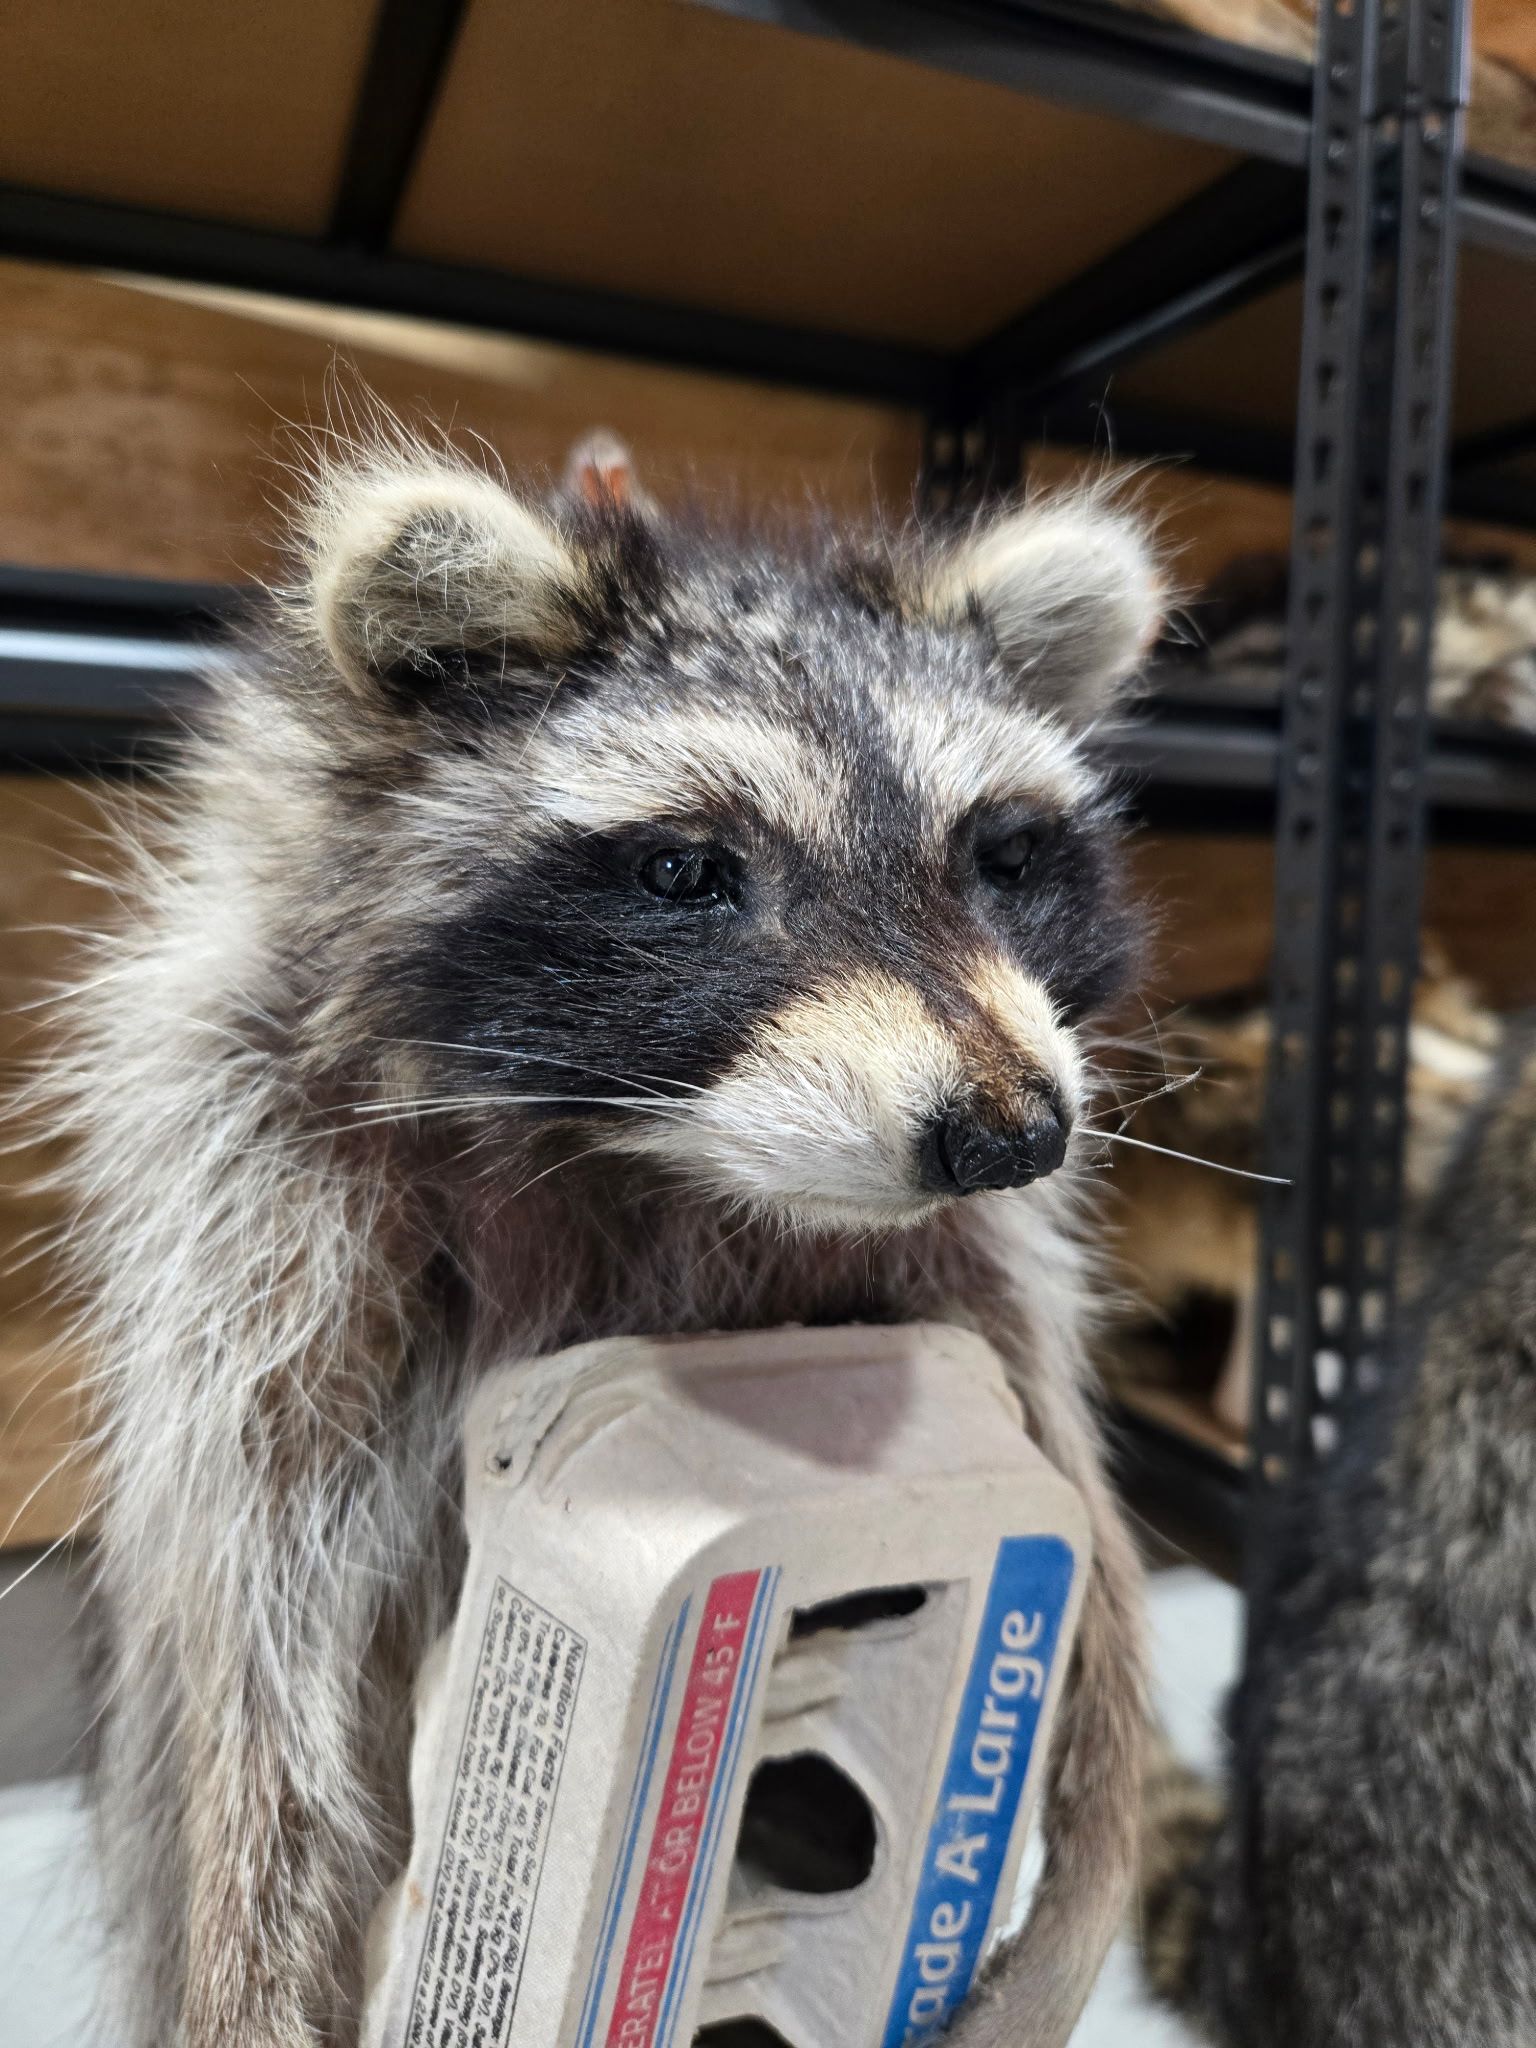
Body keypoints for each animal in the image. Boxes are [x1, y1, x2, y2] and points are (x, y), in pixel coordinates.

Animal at [58, 427, 1166, 2048]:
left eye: (1002, 857)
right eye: (688, 872)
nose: (1012, 1133)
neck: (657, 1161)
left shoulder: (977, 1266)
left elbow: (1070, 1488)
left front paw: (1081, 1874)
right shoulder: (271, 1221)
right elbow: (265, 1675)